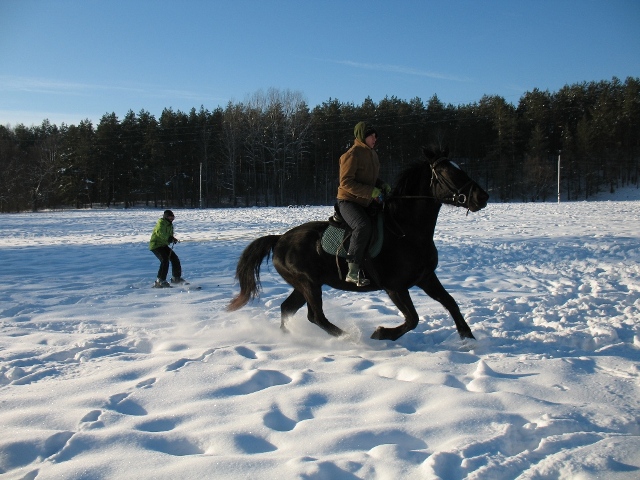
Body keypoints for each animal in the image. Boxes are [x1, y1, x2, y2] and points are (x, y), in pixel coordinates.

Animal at [228, 146, 488, 342]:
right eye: (447, 172)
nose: (482, 197)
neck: (406, 230)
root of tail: (280, 239)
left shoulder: (425, 277)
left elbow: (451, 303)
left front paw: (468, 338)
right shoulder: (395, 287)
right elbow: (412, 319)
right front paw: (381, 333)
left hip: (304, 286)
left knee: (287, 309)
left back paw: (289, 338)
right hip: (308, 283)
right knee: (316, 316)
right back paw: (349, 337)